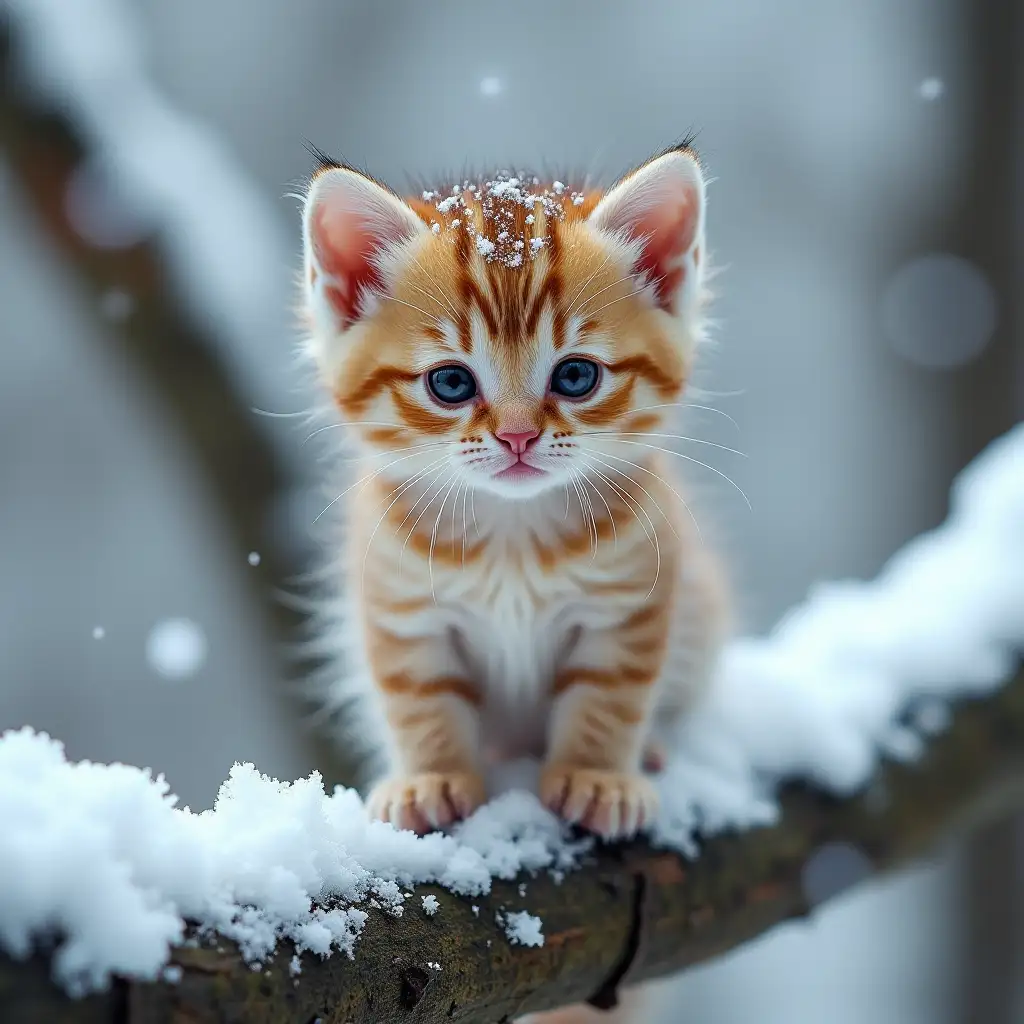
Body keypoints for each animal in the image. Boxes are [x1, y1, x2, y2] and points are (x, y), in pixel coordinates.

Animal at [299, 144, 729, 847]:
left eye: (576, 375)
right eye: (450, 383)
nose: (518, 436)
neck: (512, 534)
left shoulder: (628, 603)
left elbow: (610, 694)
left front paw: (596, 776)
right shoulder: (402, 608)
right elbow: (418, 701)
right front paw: (431, 779)